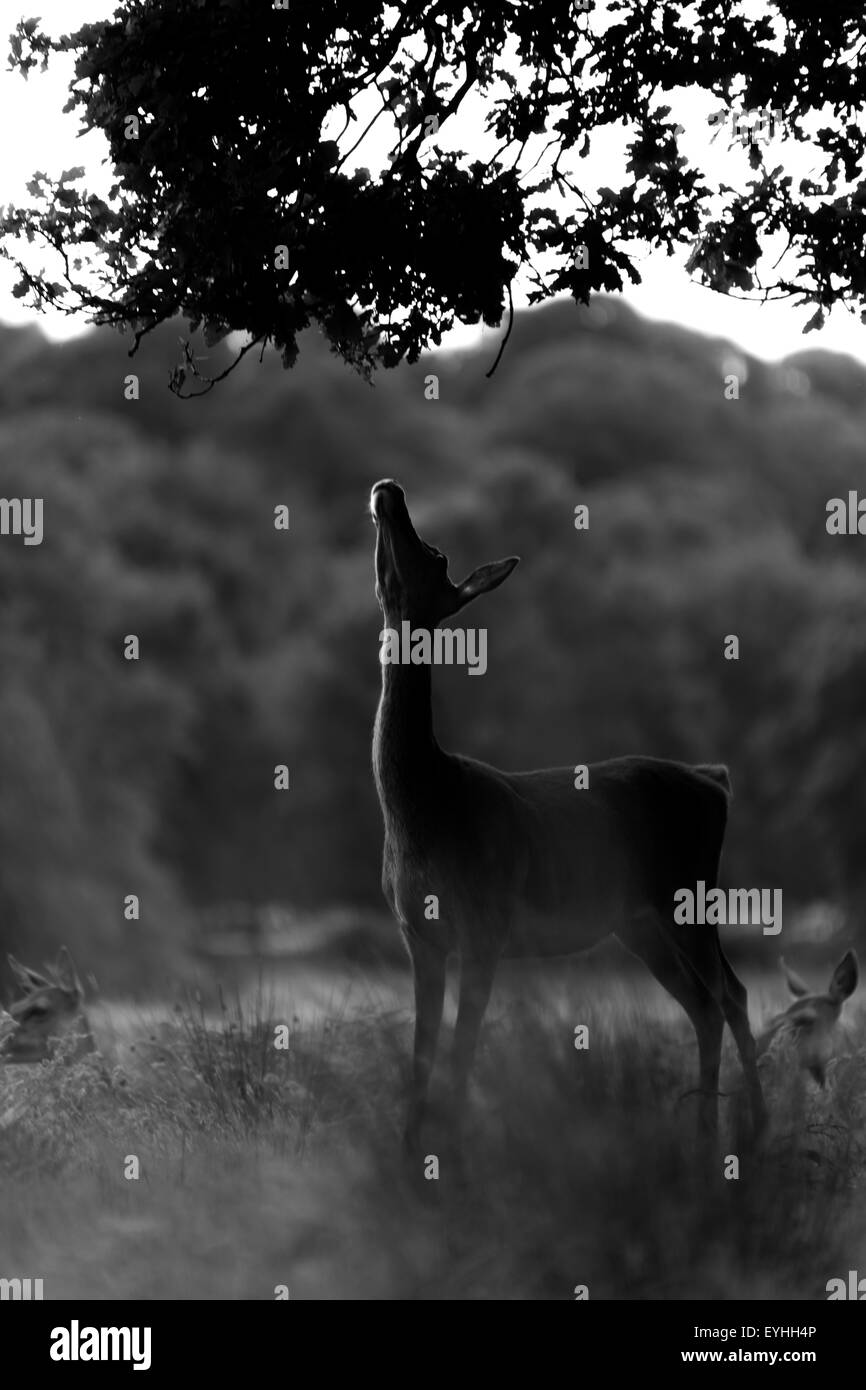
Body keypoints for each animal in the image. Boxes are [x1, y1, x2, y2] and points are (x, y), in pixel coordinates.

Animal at [369, 483, 767, 1156]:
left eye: (437, 553)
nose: (390, 491)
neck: (423, 809)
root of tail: (716, 781)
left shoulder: (486, 922)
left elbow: (460, 1052)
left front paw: (451, 1154)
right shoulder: (417, 936)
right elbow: (422, 1056)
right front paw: (410, 1153)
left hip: (688, 892)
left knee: (730, 993)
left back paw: (753, 1128)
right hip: (636, 921)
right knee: (704, 1003)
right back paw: (706, 1131)